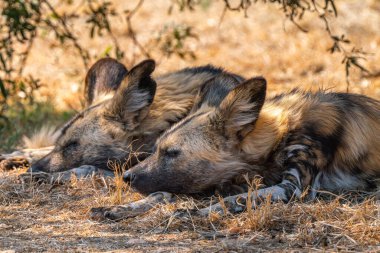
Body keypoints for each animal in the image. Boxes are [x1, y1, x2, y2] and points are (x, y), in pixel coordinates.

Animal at [92, 74, 380, 219]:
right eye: (156, 150)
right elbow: (164, 193)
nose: (126, 177)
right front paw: (121, 208)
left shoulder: (292, 189)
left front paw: (194, 212)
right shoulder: (227, 179)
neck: (281, 134)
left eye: (172, 153)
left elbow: (235, 200)